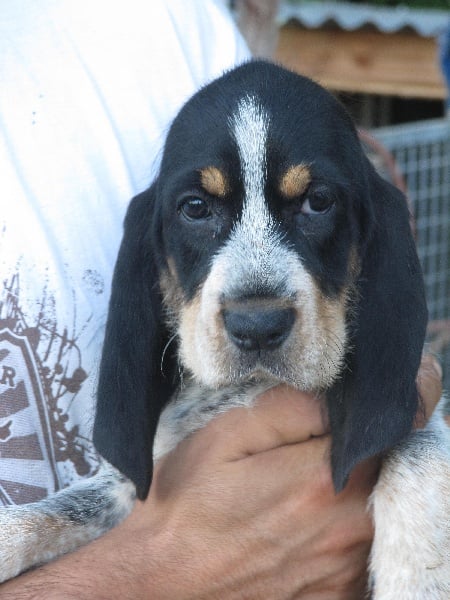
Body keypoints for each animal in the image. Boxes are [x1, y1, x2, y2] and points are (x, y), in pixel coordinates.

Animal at [1, 60, 449, 598]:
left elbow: (418, 441)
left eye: (318, 202)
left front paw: (414, 572)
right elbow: (63, 507)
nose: (257, 326)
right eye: (195, 208)